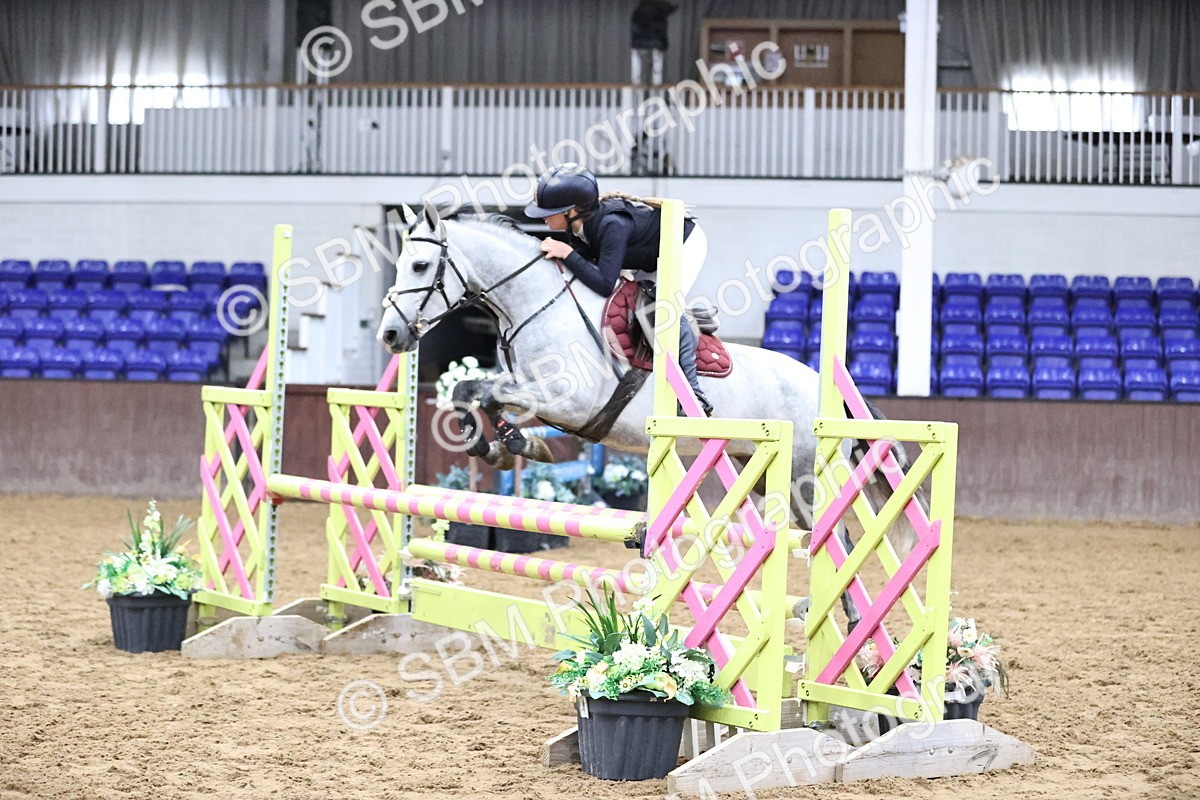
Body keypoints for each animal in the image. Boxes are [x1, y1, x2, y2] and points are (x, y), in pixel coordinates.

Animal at [376, 203, 921, 625]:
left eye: (420, 266)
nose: (391, 336)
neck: (536, 306)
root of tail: (825, 387)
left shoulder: (569, 401)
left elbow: (483, 392)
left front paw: (510, 445)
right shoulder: (538, 397)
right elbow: (472, 391)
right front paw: (506, 445)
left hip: (805, 474)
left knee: (839, 538)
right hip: (759, 470)